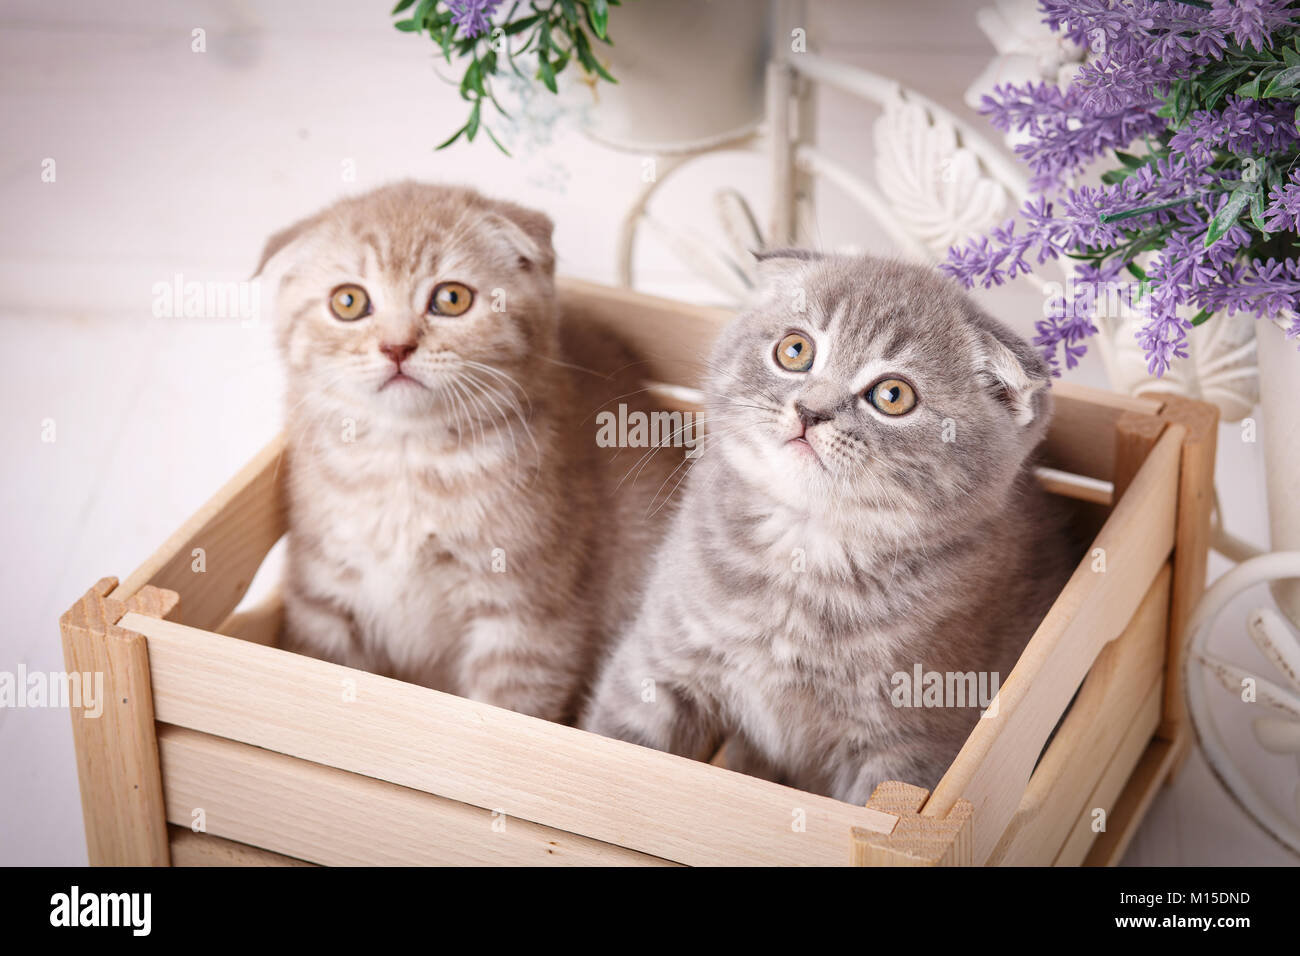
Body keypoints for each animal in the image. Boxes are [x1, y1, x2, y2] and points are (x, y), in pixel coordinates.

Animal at [256, 179, 681, 723]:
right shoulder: (322, 598)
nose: (396, 347)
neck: (407, 464)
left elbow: (504, 713)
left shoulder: (527, 623)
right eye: (348, 302)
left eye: (451, 298)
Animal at [582, 252, 1076, 801]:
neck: (806, 546)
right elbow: (619, 741)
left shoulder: (910, 747)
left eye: (893, 394)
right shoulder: (660, 662)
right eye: (795, 350)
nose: (810, 410)